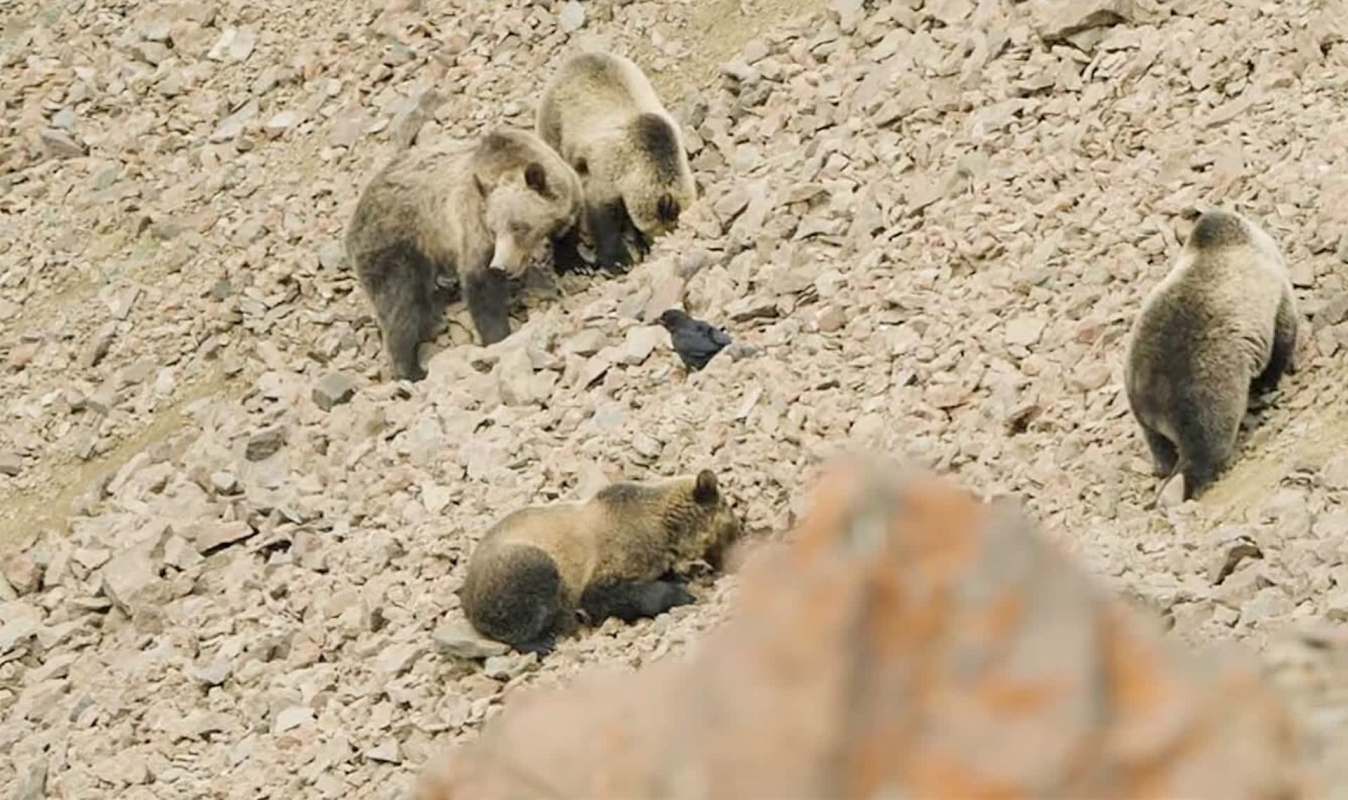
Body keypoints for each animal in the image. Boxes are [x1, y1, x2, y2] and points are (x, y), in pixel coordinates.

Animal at [345, 128, 583, 381]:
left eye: (518, 226)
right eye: (493, 229)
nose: (500, 265)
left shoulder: (567, 195)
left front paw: (574, 264)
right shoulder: (472, 225)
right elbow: (481, 285)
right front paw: (499, 338)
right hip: (394, 243)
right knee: (400, 303)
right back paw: (412, 370)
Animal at [459, 469, 742, 655]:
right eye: (732, 527)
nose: (737, 558)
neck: (665, 529)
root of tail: (466, 594)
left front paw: (679, 577)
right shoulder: (612, 555)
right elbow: (602, 595)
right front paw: (680, 594)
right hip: (518, 562)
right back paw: (540, 641)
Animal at [536, 51, 697, 272]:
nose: (653, 246)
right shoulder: (609, 167)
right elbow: (602, 213)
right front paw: (619, 260)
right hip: (556, 124)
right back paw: (572, 263)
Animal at [1124, 207, 1300, 501]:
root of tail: (1154, 402)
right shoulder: (1273, 291)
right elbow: (1283, 334)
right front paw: (1269, 382)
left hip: (1142, 408)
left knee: (1158, 444)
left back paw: (1163, 468)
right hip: (1204, 396)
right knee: (1205, 447)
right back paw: (1190, 483)